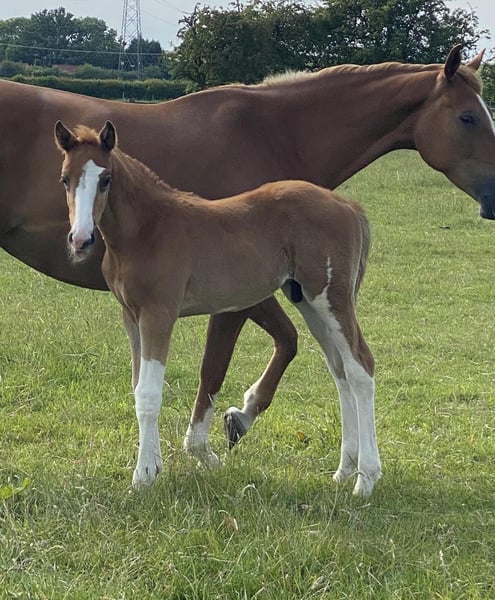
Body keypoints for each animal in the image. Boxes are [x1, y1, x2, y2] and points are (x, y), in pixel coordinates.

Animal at [2, 46, 495, 451]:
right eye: (467, 117)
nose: (494, 196)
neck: (278, 132)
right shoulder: (238, 294)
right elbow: (219, 364)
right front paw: (214, 434)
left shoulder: (264, 286)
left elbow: (285, 344)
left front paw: (235, 419)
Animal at [54, 119, 380, 496]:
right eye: (65, 179)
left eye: (105, 179)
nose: (80, 240)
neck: (148, 229)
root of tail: (348, 205)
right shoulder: (131, 317)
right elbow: (137, 389)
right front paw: (152, 466)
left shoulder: (158, 314)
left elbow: (149, 394)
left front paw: (144, 474)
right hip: (309, 301)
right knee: (340, 371)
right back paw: (344, 471)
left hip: (331, 298)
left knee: (360, 367)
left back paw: (366, 479)